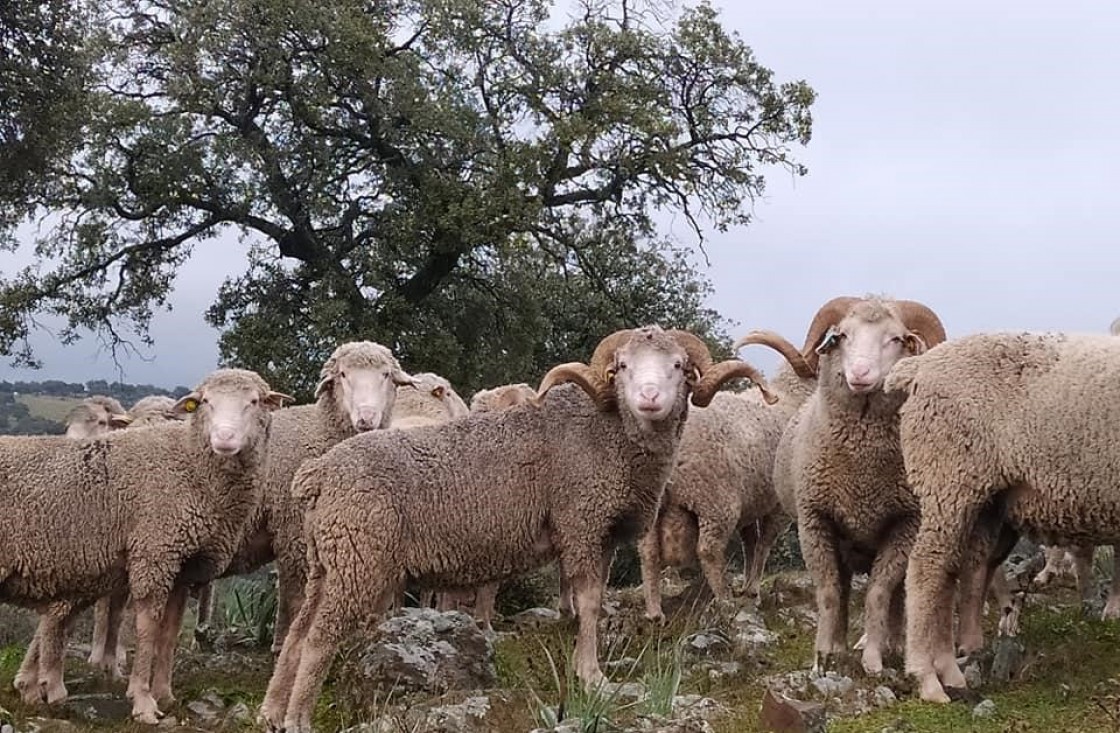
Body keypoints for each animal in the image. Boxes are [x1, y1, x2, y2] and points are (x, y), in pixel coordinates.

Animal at [258, 327, 779, 733]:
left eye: (677, 365)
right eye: (624, 366)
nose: (649, 398)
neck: (610, 434)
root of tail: (318, 474)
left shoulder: (604, 534)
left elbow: (592, 601)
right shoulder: (581, 523)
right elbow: (590, 602)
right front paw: (591, 675)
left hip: (328, 561)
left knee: (298, 634)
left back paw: (272, 712)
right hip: (358, 560)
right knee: (319, 638)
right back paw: (298, 718)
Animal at [640, 329, 815, 623]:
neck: (791, 401)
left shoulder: (751, 503)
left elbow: (750, 543)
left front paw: (747, 586)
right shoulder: (777, 507)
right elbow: (764, 543)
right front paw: (753, 591)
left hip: (653, 505)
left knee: (648, 551)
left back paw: (654, 612)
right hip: (715, 504)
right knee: (708, 550)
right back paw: (724, 601)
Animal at [766, 295, 940, 676]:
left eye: (896, 339)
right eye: (842, 335)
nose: (860, 374)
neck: (862, 474)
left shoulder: (905, 524)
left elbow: (879, 592)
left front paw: (873, 658)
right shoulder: (815, 522)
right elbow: (830, 592)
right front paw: (822, 657)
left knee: (897, 596)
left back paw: (892, 644)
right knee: (844, 589)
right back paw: (841, 645)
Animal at [882, 329, 1120, 703]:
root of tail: (922, 365)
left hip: (983, 498)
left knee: (960, 568)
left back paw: (952, 667)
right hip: (947, 474)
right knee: (927, 567)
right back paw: (926, 677)